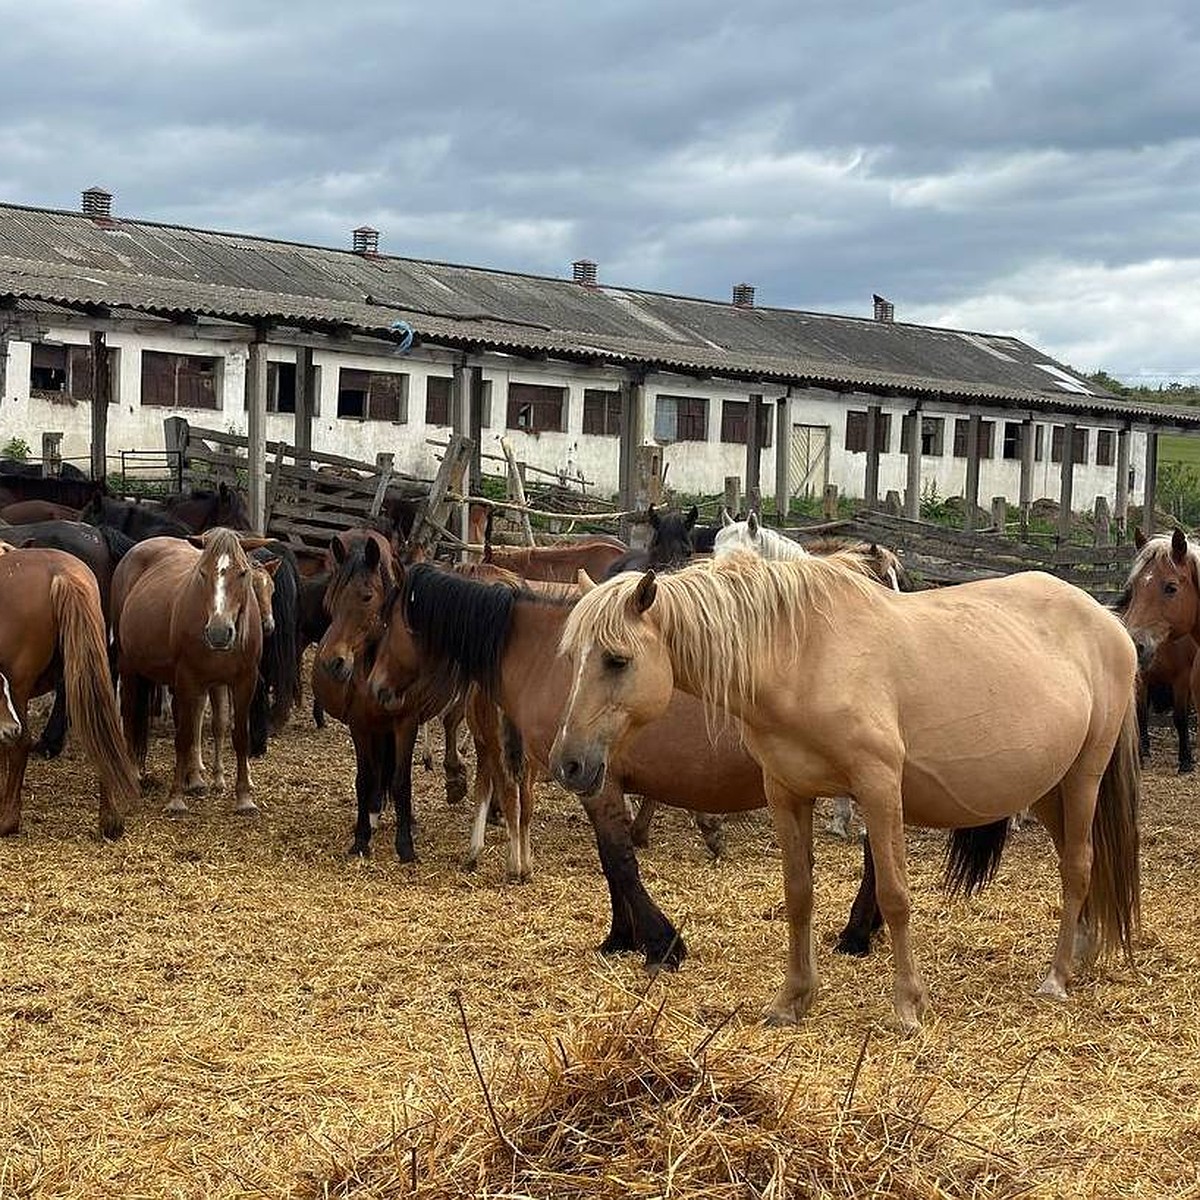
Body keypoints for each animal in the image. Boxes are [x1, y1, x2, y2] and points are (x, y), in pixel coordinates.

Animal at [0, 544, 140, 835]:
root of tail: (61, 573)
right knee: (105, 732)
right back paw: (110, 820)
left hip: (18, 686)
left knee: (19, 743)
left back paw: (7, 820)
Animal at [111, 528, 274, 816]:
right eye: (202, 573)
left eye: (242, 573)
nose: (219, 632)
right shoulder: (188, 678)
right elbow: (184, 735)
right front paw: (176, 799)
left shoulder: (244, 681)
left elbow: (238, 735)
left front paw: (244, 798)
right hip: (129, 666)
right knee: (129, 717)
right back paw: (133, 775)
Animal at [549, 552, 1137, 1032]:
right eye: (571, 657)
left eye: (617, 659)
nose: (569, 764)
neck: (802, 657)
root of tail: (1109, 623)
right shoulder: (787, 793)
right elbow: (798, 895)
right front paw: (792, 1000)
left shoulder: (878, 789)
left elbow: (894, 896)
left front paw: (908, 1006)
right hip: (1049, 788)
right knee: (1079, 863)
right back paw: (1081, 952)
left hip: (1083, 777)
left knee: (1078, 865)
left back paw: (1057, 977)